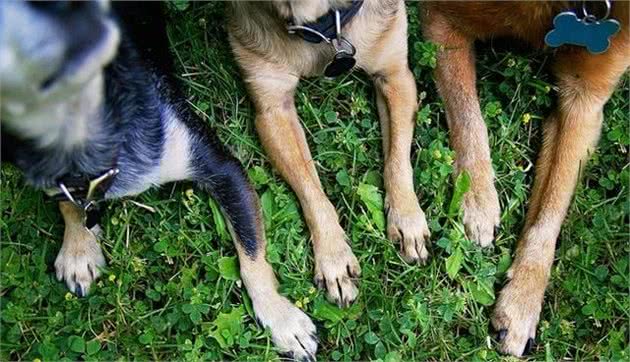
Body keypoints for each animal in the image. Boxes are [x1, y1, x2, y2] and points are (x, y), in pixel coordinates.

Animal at [228, 0, 434, 306]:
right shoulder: (272, 108)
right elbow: (313, 193)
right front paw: (333, 259)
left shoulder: (395, 75)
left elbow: (397, 161)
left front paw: (407, 219)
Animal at [420, 0, 630, 356]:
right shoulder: (442, 22)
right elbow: (467, 115)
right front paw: (478, 200)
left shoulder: (585, 102)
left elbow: (551, 210)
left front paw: (522, 300)